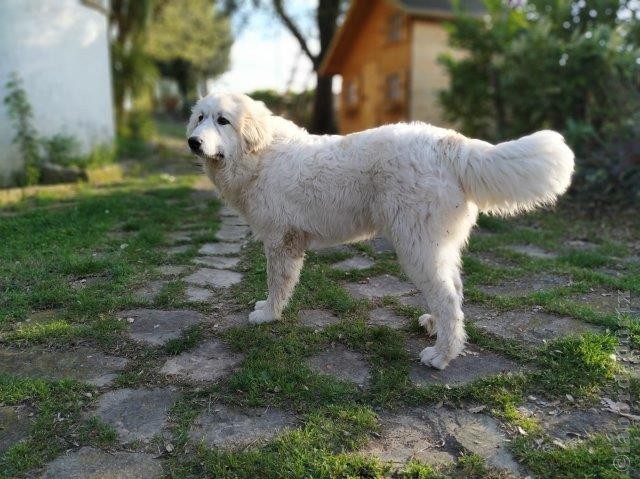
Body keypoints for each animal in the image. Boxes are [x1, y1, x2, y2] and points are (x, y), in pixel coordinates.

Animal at [186, 93, 576, 372]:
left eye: (223, 120)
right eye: (200, 118)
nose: (192, 141)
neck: (260, 153)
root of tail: (449, 143)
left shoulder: (282, 243)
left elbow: (277, 284)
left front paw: (268, 314)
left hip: (415, 246)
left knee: (449, 299)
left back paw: (442, 356)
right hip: (435, 246)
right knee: (453, 290)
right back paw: (436, 327)